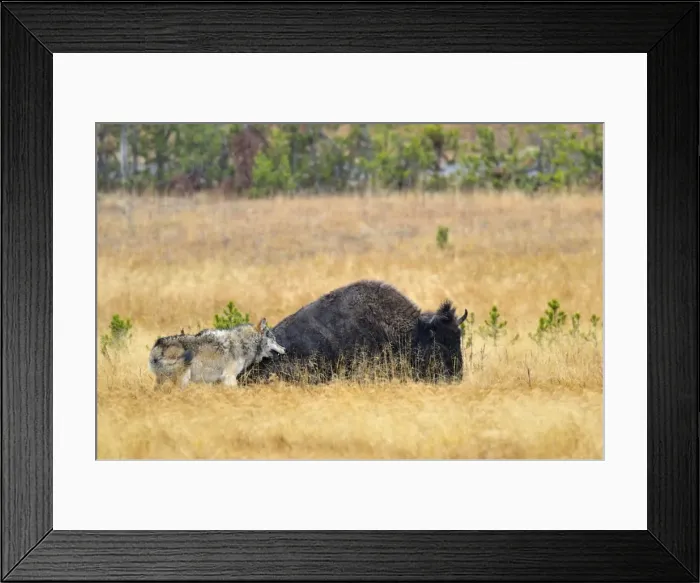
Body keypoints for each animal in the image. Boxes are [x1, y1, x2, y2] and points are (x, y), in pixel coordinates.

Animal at [148, 318, 285, 389]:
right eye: (274, 339)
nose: (284, 349)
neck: (244, 342)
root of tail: (157, 345)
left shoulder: (220, 380)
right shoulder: (229, 377)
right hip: (184, 378)